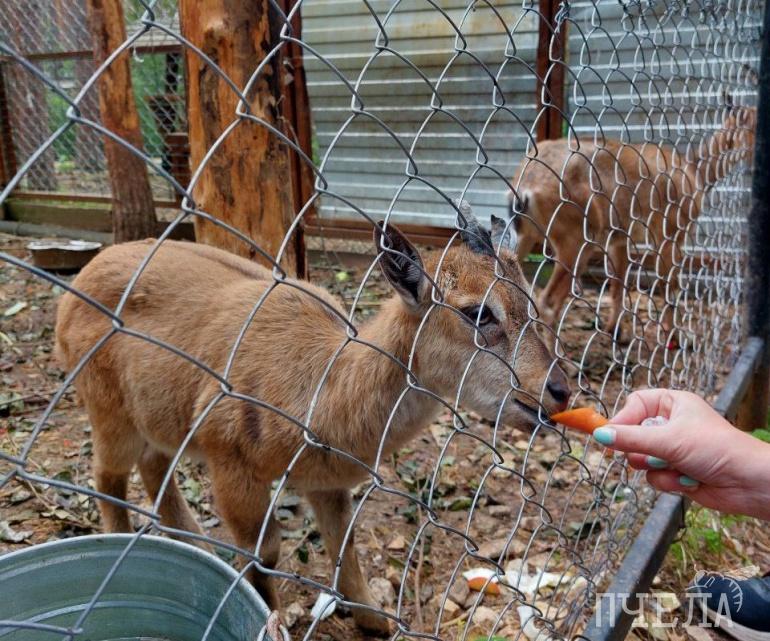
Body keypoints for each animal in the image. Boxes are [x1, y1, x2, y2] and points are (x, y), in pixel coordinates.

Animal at [55, 215, 570, 633]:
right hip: (108, 411)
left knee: (154, 465)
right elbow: (264, 552)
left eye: (531, 303)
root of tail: (80, 281)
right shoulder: (230, 462)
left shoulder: (327, 482)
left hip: (157, 419)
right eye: (477, 311)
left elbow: (345, 547)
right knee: (108, 475)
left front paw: (376, 620)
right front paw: (271, 617)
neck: (324, 389)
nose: (559, 390)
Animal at [506, 105, 756, 340]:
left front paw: (615, 331)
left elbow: (618, 284)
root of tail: (524, 187)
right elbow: (669, 285)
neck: (696, 173)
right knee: (547, 302)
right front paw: (673, 335)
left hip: (525, 235)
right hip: (575, 240)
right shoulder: (671, 231)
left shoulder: (618, 240)